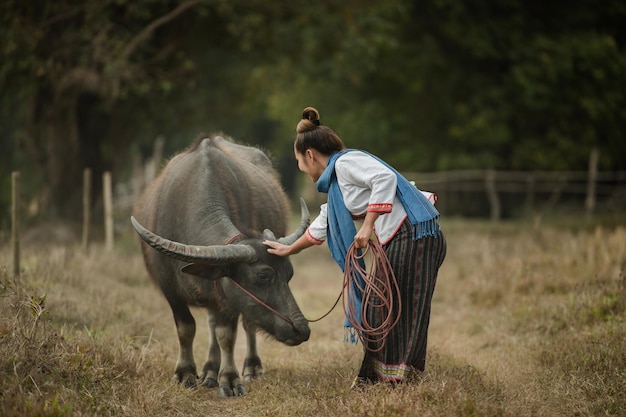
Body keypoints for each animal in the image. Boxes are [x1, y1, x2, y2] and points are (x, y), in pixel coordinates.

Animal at [131, 135, 310, 394]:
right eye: (263, 276)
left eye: (289, 275)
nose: (302, 329)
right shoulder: (170, 290)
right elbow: (186, 328)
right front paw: (185, 373)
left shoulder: (229, 297)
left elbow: (226, 335)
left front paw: (229, 379)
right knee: (211, 322)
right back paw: (208, 372)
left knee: (245, 325)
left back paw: (249, 368)